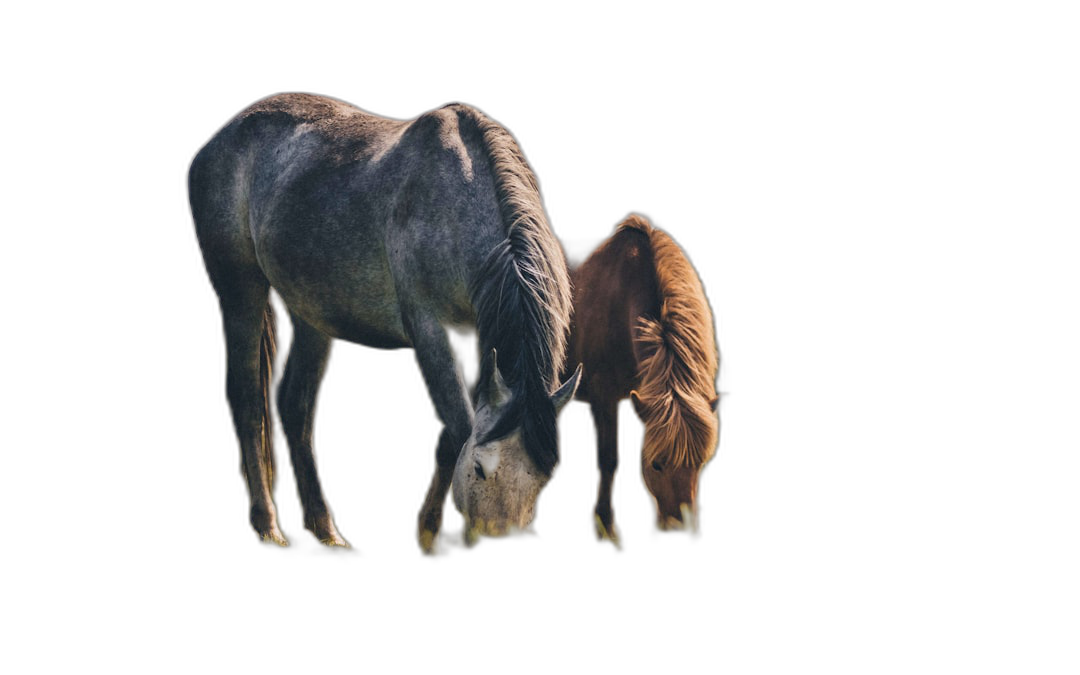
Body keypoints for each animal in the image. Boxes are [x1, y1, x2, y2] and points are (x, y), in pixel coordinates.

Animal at [185, 92, 583, 552]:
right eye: (482, 468)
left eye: (545, 479)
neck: (458, 198)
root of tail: (216, 141)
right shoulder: (428, 330)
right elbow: (459, 426)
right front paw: (428, 534)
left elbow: (453, 434)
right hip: (241, 291)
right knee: (249, 399)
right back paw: (268, 525)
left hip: (312, 315)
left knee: (295, 405)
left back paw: (325, 529)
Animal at [565, 212, 725, 544]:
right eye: (656, 465)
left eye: (699, 464)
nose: (681, 529)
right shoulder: (603, 397)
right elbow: (609, 458)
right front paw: (605, 525)